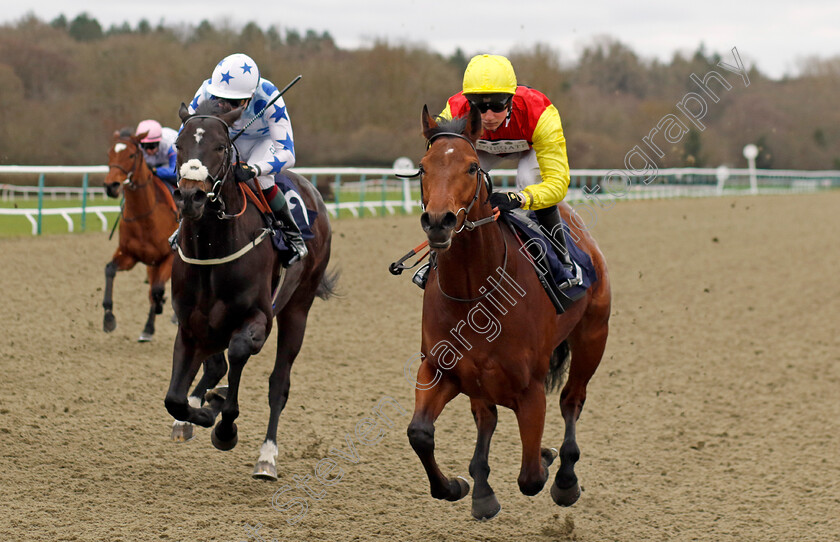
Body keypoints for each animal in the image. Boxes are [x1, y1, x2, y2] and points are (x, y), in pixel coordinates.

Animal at [103, 130, 179, 342]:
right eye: (109, 154)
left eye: (131, 155)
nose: (111, 186)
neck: (145, 216)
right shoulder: (129, 255)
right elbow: (110, 270)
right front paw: (108, 318)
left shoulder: (169, 257)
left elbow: (157, 290)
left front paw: (161, 304)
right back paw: (148, 328)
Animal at [162, 101, 336, 480]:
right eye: (179, 145)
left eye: (220, 147)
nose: (190, 196)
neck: (211, 249)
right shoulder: (189, 325)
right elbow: (175, 399)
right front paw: (200, 410)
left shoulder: (259, 318)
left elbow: (239, 352)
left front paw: (224, 426)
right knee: (215, 367)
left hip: (297, 308)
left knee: (278, 384)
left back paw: (266, 457)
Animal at [406, 104, 612, 520]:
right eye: (422, 167)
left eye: (471, 167)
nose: (438, 222)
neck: (476, 292)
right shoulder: (439, 369)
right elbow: (419, 434)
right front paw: (456, 485)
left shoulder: (531, 389)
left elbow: (531, 475)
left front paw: (548, 459)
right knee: (486, 417)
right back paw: (482, 491)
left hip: (593, 337)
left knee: (572, 400)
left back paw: (565, 477)